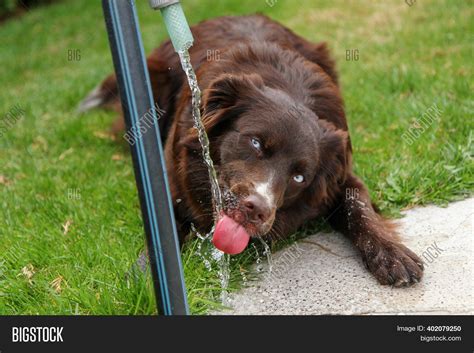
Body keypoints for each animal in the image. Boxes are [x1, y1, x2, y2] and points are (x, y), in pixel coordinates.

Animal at [79, 15, 424, 288]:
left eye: (299, 177)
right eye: (256, 143)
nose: (256, 209)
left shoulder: (341, 178)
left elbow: (358, 208)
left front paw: (391, 254)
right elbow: (161, 232)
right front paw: (142, 279)